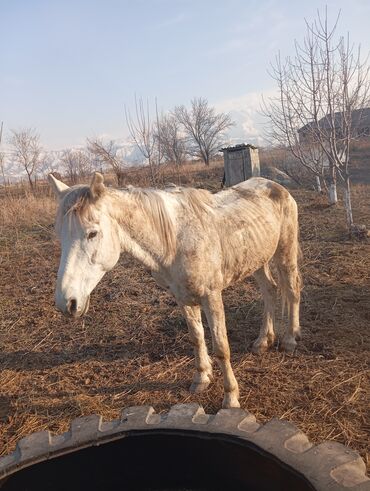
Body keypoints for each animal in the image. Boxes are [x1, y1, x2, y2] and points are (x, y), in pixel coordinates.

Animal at [48, 171, 300, 410]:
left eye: (92, 233)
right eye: (60, 235)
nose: (66, 302)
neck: (177, 241)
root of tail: (275, 185)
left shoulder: (211, 296)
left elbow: (221, 348)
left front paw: (230, 398)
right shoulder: (183, 298)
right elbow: (197, 338)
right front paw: (201, 379)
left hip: (285, 252)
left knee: (292, 290)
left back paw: (290, 339)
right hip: (257, 260)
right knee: (269, 291)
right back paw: (263, 341)